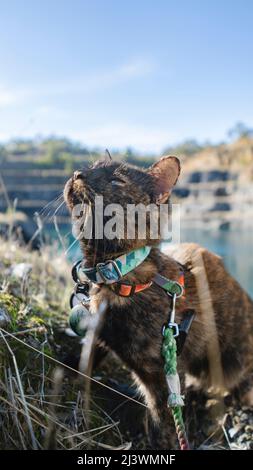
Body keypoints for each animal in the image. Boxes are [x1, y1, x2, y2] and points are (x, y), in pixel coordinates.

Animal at [64, 155, 253, 448]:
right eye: (92, 166)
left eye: (117, 180)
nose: (77, 174)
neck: (117, 274)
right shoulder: (97, 336)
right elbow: (86, 361)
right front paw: (71, 377)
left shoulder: (160, 374)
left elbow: (162, 420)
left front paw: (160, 443)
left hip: (232, 362)